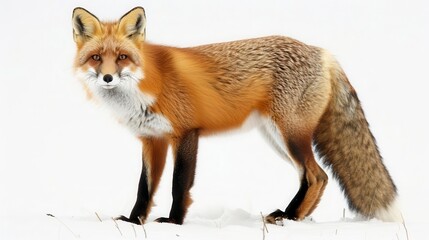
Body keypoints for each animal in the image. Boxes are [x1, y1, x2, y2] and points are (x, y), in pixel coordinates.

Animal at [72, 7, 400, 225]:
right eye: (96, 58)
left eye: (122, 57)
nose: (108, 78)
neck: (147, 85)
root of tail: (323, 53)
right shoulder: (152, 139)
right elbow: (145, 188)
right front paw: (133, 222)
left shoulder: (186, 133)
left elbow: (179, 184)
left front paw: (174, 222)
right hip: (277, 139)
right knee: (312, 177)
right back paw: (292, 215)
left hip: (289, 135)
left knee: (316, 175)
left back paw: (290, 217)